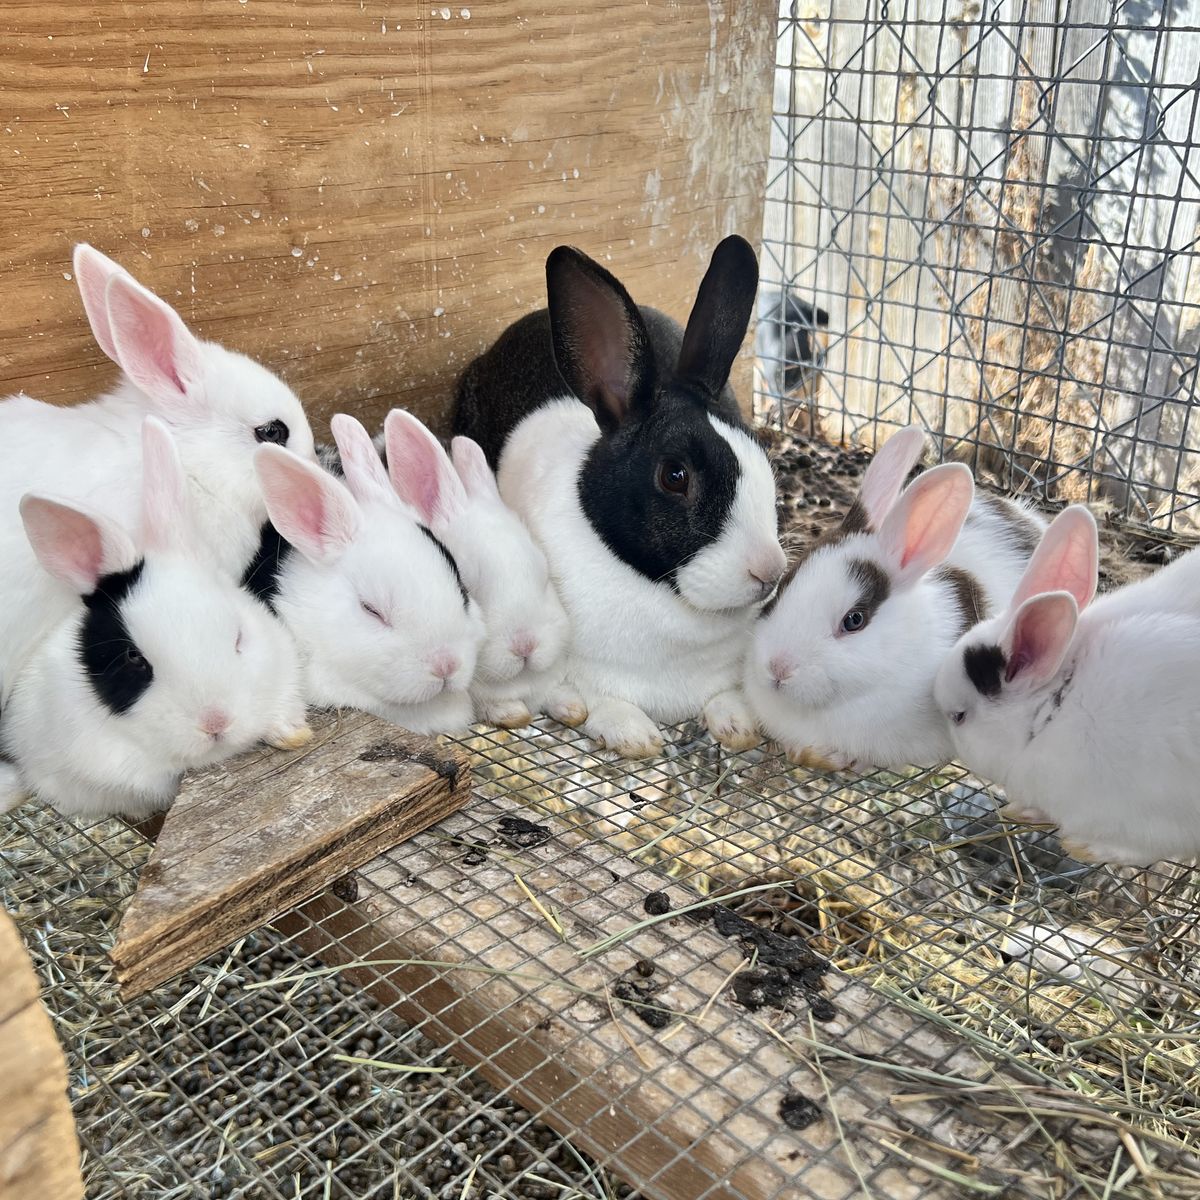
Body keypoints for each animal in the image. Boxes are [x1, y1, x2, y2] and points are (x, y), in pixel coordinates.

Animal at [451, 235, 786, 758]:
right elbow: (597, 700)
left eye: (763, 457)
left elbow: (725, 696)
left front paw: (737, 724)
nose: (768, 572)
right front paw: (633, 734)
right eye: (675, 476)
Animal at [934, 504, 1200, 865]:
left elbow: (1136, 851)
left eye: (958, 716)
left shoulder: (1153, 821)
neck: (1055, 709)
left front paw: (1082, 847)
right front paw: (1022, 811)